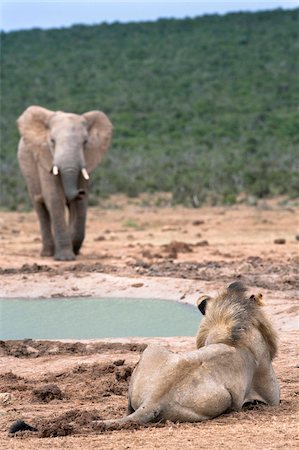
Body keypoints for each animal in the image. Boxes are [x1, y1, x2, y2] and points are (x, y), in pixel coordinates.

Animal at [17, 105, 113, 260]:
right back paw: (47, 253)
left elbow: (80, 205)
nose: (80, 192)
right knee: (40, 208)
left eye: (85, 142)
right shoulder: (44, 158)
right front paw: (65, 258)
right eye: (52, 141)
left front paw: (73, 250)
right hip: (27, 168)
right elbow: (55, 198)